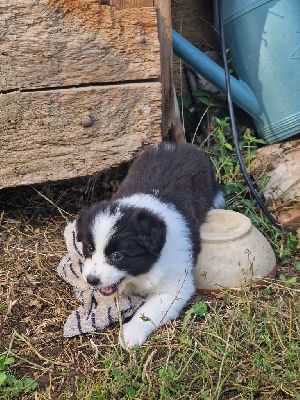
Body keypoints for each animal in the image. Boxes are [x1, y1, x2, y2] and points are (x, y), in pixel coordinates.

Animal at [76, 144, 224, 346]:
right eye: (89, 248)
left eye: (117, 256)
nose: (91, 280)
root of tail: (177, 145)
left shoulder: (175, 286)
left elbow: (149, 310)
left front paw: (130, 333)